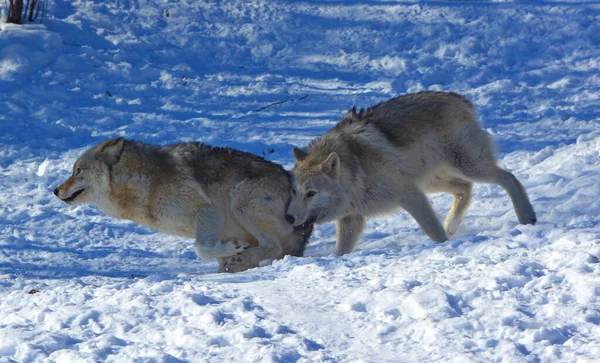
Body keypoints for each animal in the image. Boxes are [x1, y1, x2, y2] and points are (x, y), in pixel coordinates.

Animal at [55, 139, 314, 272]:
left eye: (78, 171)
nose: (55, 190)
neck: (145, 184)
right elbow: (213, 253)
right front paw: (227, 263)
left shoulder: (209, 212)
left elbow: (201, 249)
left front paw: (235, 252)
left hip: (240, 202)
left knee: (274, 246)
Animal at [288, 91, 540, 256]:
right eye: (294, 191)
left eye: (311, 193)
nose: (288, 217)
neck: (356, 171)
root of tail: (459, 98)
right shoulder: (352, 218)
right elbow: (340, 251)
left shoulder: (409, 194)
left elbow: (432, 230)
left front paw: (444, 245)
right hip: (432, 182)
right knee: (465, 188)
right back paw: (452, 225)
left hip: (469, 168)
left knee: (509, 178)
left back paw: (527, 216)